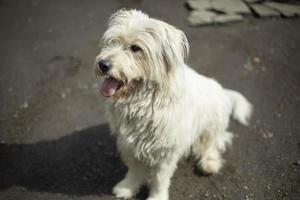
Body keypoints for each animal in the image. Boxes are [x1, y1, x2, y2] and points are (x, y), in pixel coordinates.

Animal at [94, 9, 253, 200]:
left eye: (136, 48)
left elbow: (159, 178)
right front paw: (127, 187)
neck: (143, 101)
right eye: (112, 42)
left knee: (212, 143)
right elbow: (134, 169)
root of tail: (223, 92)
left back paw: (209, 163)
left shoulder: (165, 150)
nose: (103, 64)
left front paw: (157, 197)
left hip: (212, 123)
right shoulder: (128, 143)